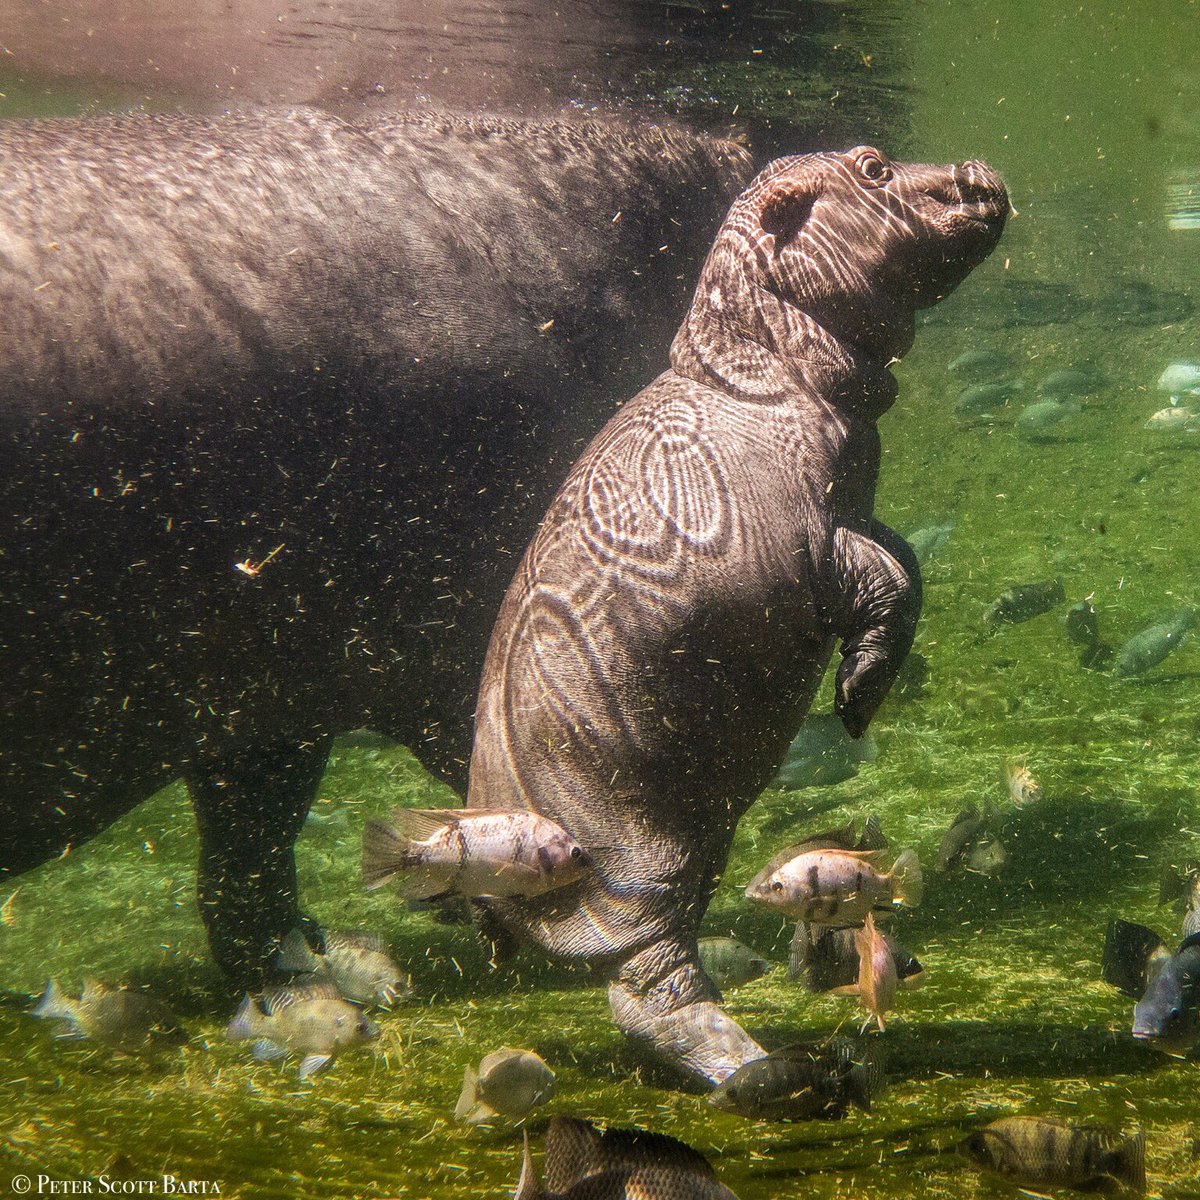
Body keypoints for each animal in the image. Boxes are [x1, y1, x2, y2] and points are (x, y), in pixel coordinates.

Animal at [468, 146, 1009, 1083]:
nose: (980, 167)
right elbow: (887, 581)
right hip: (639, 864)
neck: (754, 351)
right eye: (873, 166)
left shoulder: (856, 507)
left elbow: (906, 560)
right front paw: (856, 701)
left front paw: (860, 696)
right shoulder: (814, 538)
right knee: (650, 988)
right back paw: (757, 1070)